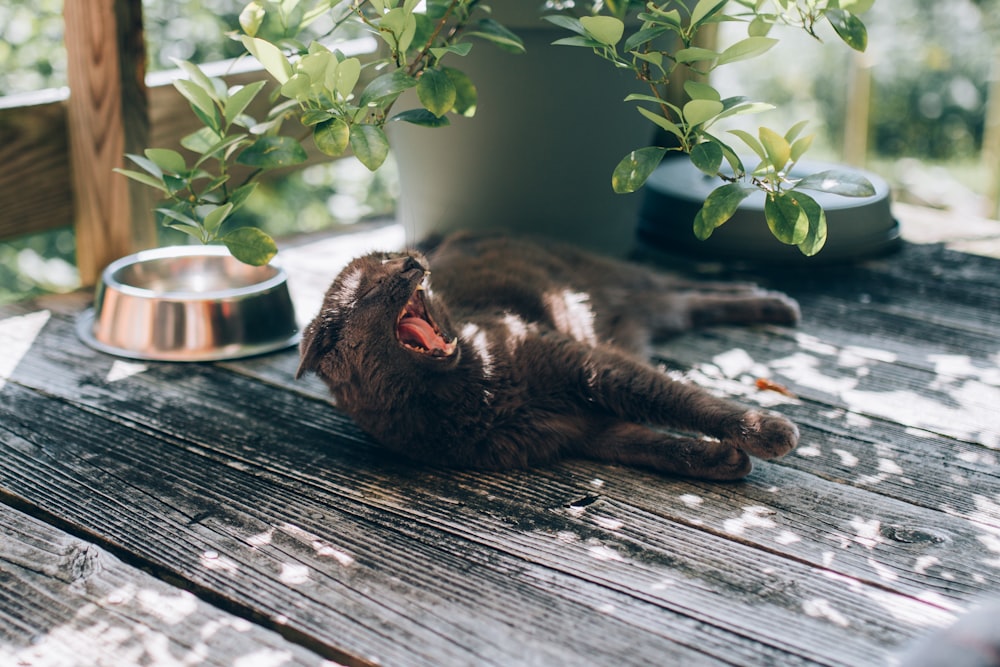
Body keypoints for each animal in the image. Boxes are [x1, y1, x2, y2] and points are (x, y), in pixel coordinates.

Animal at [294, 235, 796, 480]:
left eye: (392, 255)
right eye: (372, 286)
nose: (412, 262)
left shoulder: (592, 366)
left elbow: (676, 398)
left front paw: (766, 431)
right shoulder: (577, 433)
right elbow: (651, 446)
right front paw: (722, 461)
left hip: (626, 282)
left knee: (686, 285)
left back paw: (771, 299)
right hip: (653, 306)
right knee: (690, 301)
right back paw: (770, 302)